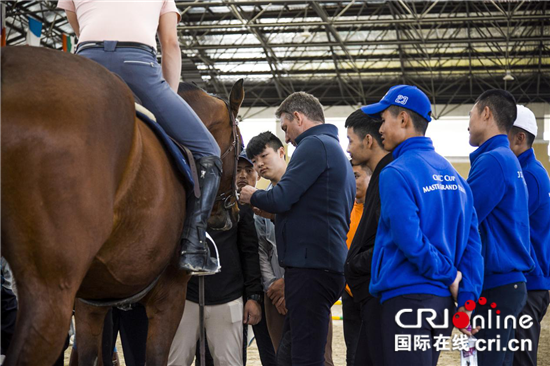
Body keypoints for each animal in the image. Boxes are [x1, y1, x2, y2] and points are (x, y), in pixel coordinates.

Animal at [1, 46, 244, 366]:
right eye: (239, 147)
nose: (232, 214)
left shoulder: (91, 301)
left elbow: (89, 355)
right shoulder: (169, 297)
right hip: (50, 291)